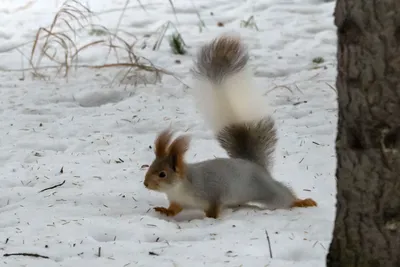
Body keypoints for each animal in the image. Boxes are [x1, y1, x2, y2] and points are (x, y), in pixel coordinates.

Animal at [144, 33, 318, 219]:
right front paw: (164, 211)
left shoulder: (212, 193)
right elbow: (174, 209)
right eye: (151, 166)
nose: (146, 183)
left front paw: (211, 219)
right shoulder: (177, 201)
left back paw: (301, 202)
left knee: (283, 195)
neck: (179, 188)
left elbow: (213, 208)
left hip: (267, 190)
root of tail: (254, 165)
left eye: (162, 174)